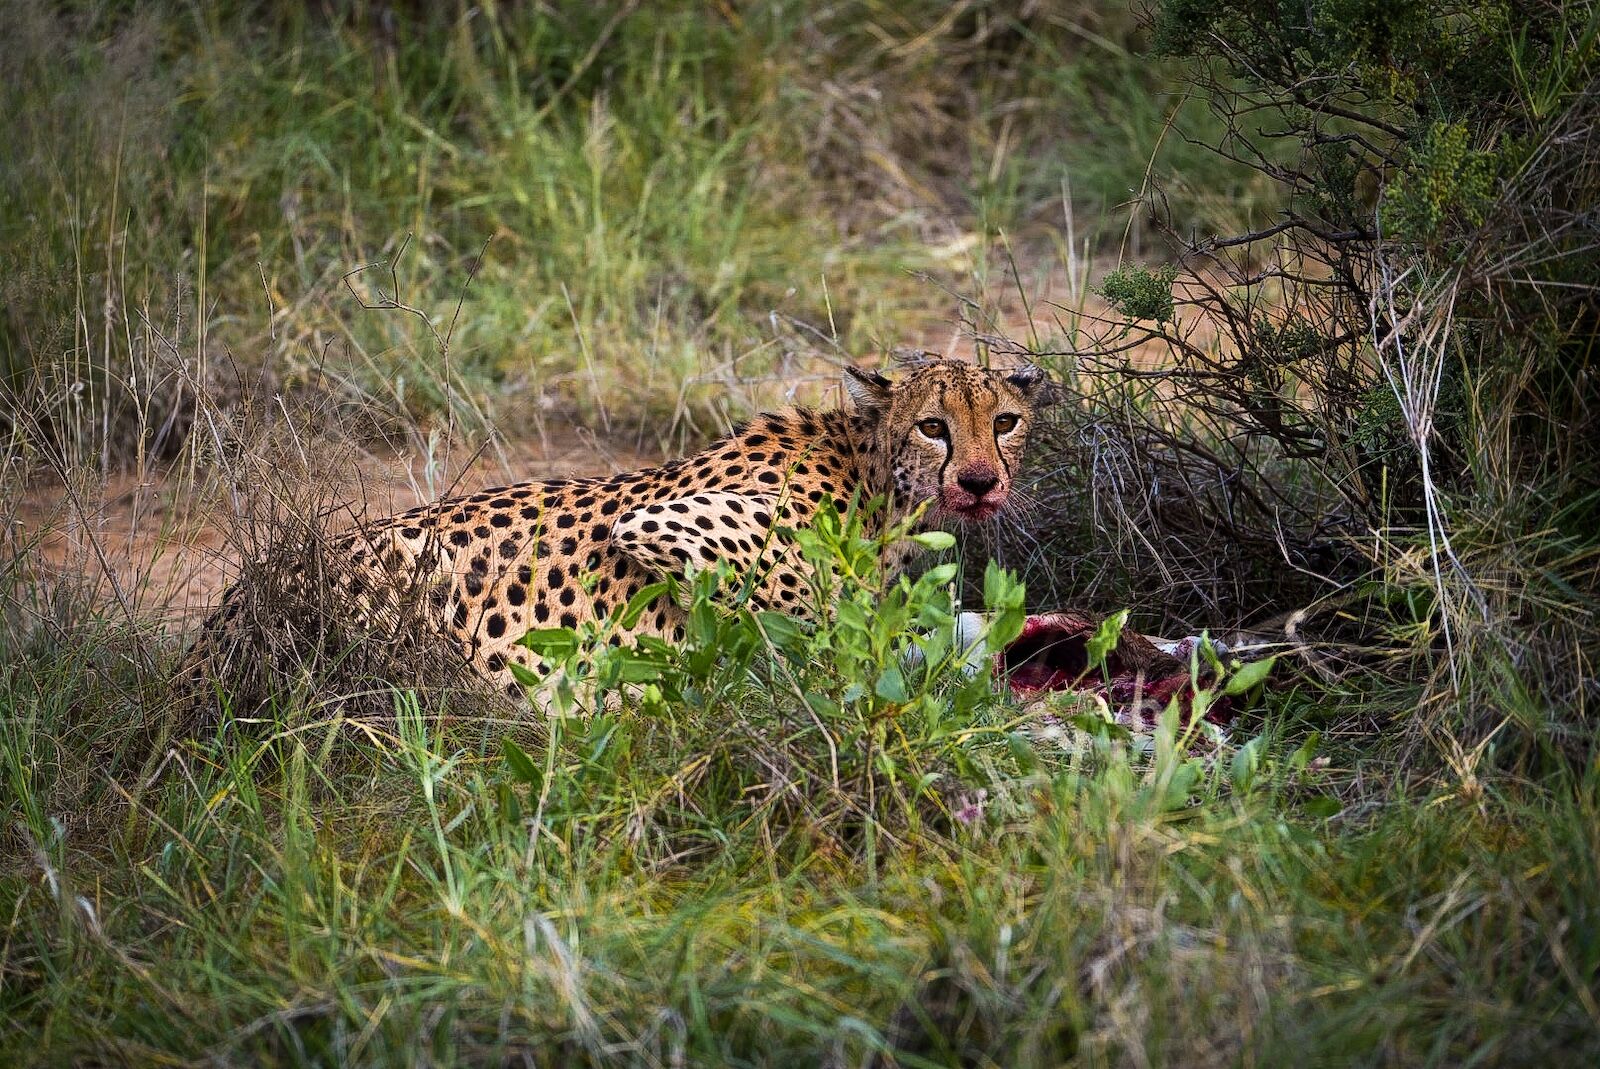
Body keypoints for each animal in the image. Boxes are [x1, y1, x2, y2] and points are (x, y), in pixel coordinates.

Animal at [193, 358, 1056, 704]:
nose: (980, 481)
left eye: (1005, 423)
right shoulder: (654, 524)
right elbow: (822, 632)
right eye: (935, 427)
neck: (871, 472)